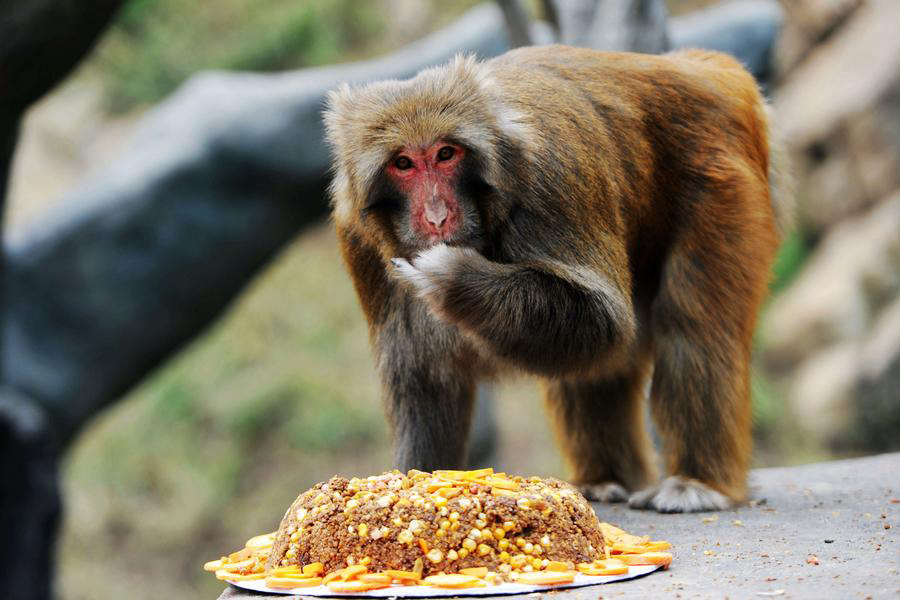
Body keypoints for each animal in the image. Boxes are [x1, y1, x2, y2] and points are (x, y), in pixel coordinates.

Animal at [324, 45, 788, 510]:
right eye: (403, 163)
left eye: (445, 154)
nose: (437, 216)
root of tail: (703, 69)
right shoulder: (358, 238)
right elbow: (423, 374)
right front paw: (411, 481)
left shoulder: (553, 179)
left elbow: (604, 321)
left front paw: (452, 278)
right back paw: (604, 478)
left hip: (722, 182)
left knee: (693, 328)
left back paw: (697, 482)